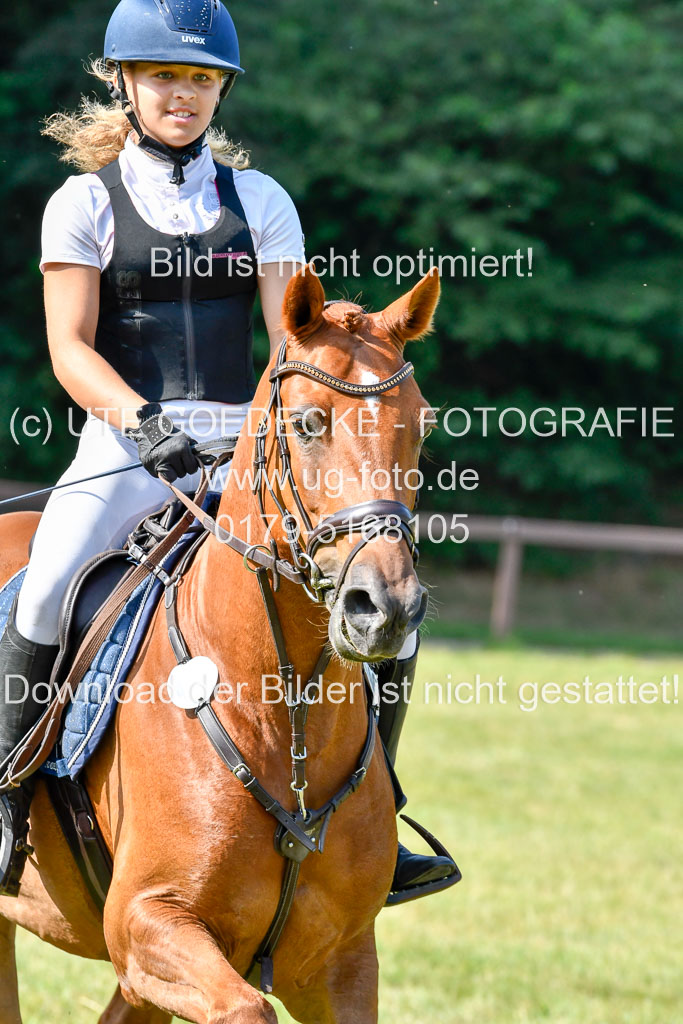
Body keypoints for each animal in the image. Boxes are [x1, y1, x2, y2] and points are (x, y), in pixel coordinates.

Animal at [0, 264, 441, 1024]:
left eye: (419, 425)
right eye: (307, 423)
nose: (384, 608)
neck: (282, 711)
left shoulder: (340, 965)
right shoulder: (147, 923)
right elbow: (246, 1008)